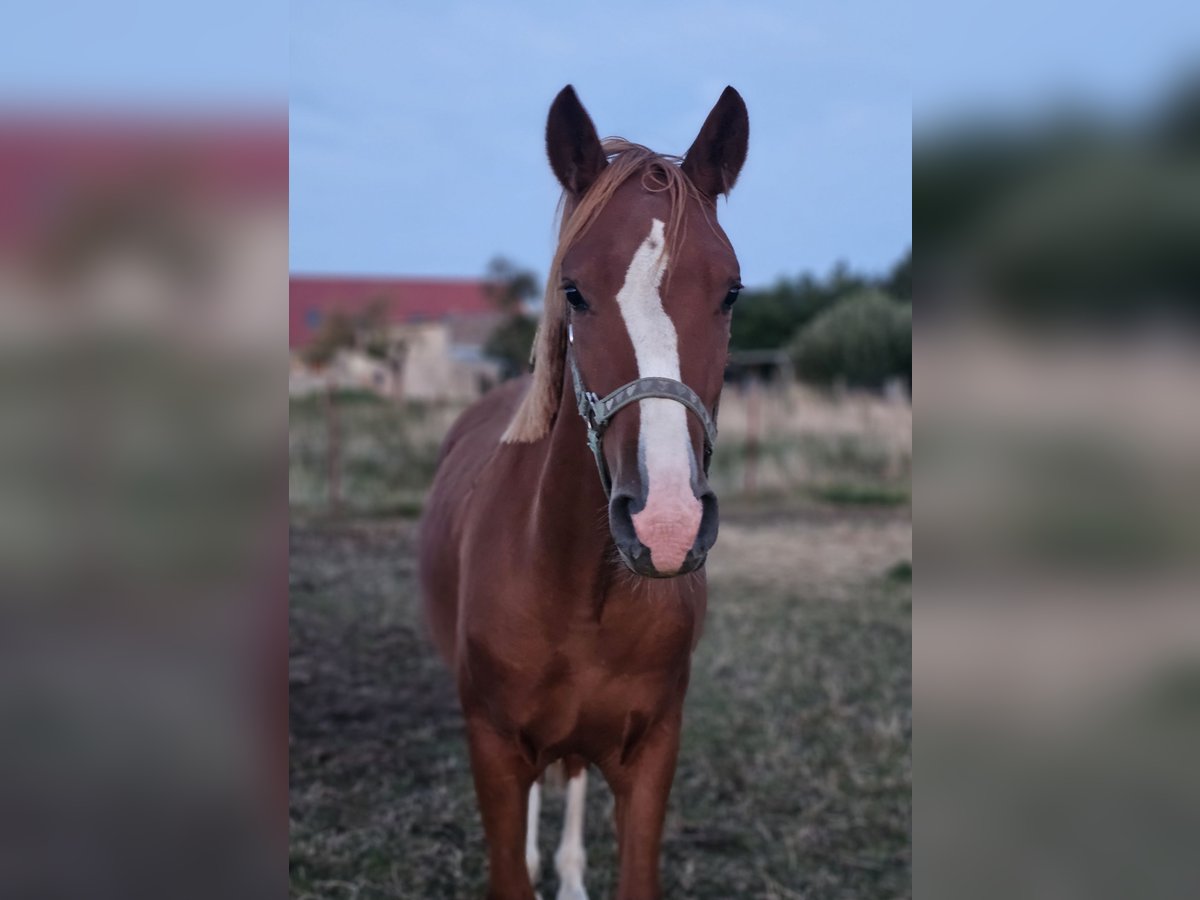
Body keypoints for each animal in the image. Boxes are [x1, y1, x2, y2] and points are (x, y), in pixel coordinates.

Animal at [417, 86, 744, 900]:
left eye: (730, 291)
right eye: (573, 289)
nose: (665, 524)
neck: (576, 589)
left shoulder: (651, 753)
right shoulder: (495, 752)